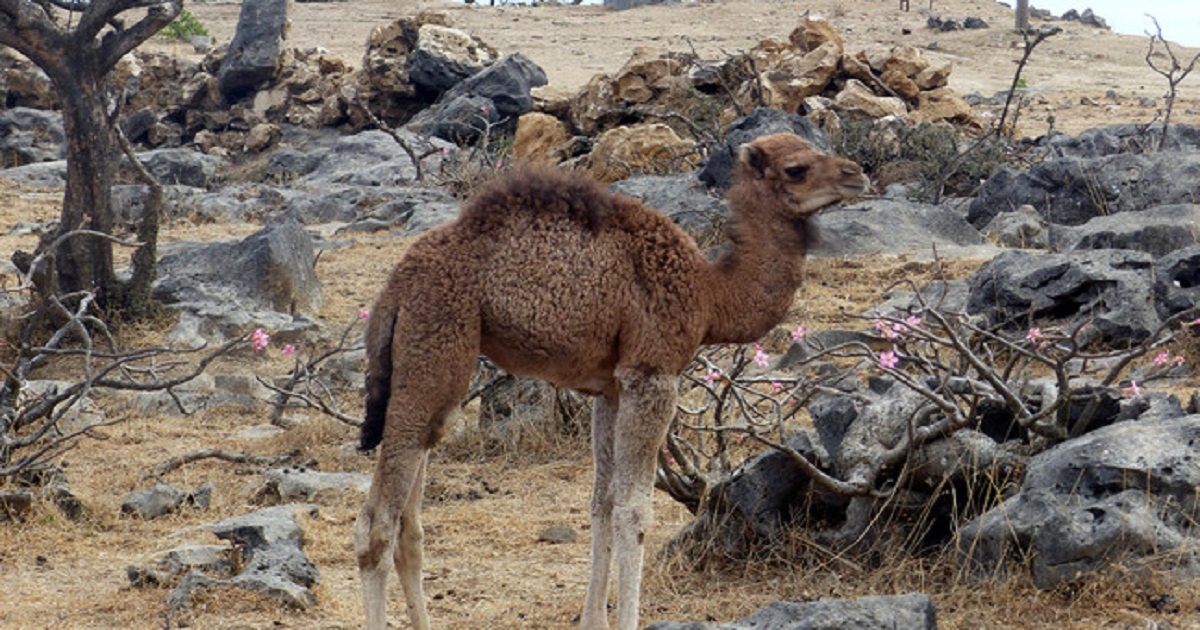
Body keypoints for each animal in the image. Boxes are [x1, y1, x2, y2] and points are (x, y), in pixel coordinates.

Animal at [355, 132, 869, 630]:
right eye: (796, 168)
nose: (856, 173)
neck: (708, 295)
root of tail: (394, 288)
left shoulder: (610, 389)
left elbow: (600, 504)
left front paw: (593, 619)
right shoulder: (652, 374)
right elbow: (633, 510)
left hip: (430, 367)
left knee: (409, 521)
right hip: (436, 339)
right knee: (376, 524)